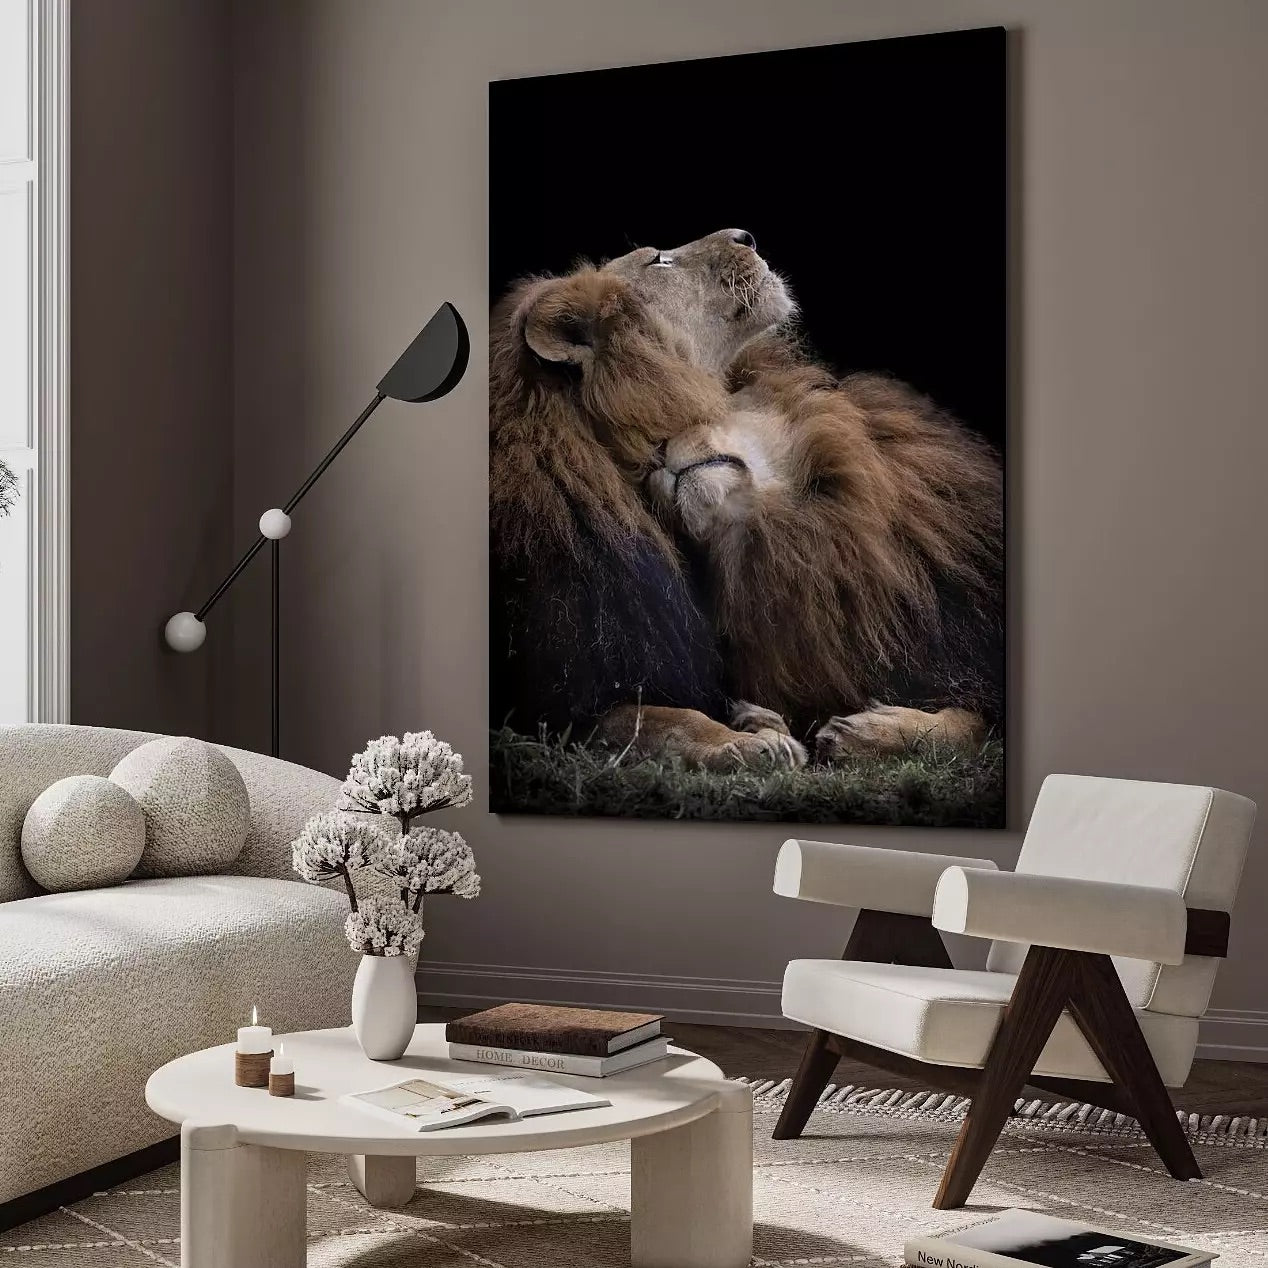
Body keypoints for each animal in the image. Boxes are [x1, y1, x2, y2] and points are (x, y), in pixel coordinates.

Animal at [490, 231, 808, 771]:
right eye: (658, 260)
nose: (746, 236)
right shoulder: (556, 713)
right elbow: (663, 719)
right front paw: (741, 743)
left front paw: (758, 720)